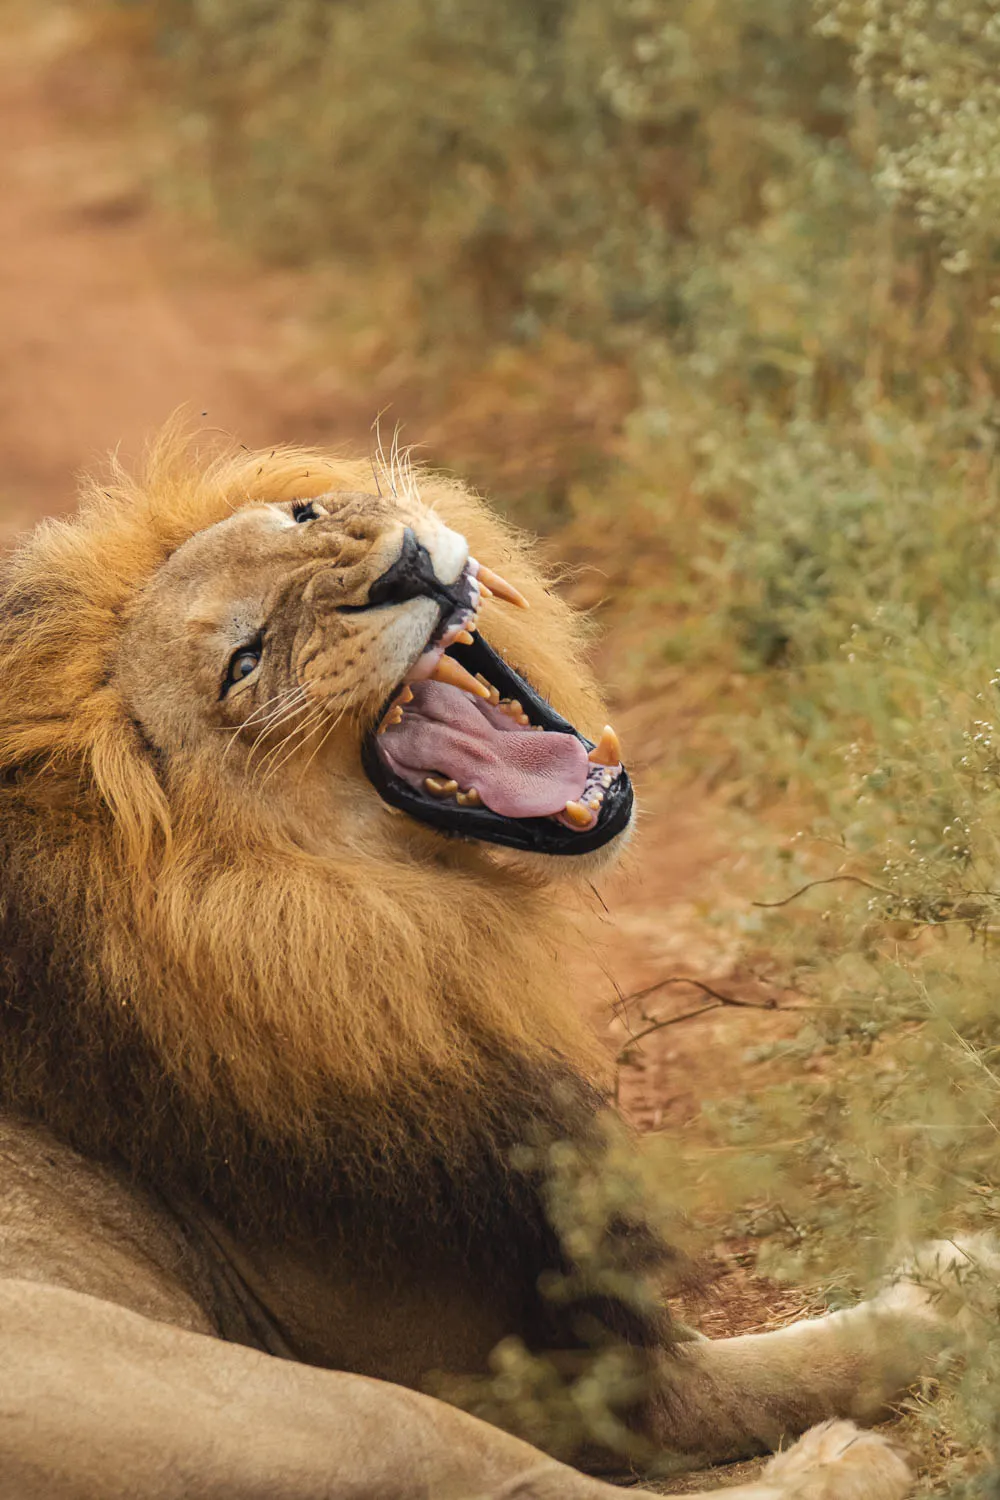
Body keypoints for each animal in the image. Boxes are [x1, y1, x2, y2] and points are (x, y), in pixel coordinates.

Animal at [0, 430, 974, 1500]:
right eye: (244, 662)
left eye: (303, 516)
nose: (402, 568)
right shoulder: (557, 1366)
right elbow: (786, 1367)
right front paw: (956, 1286)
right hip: (312, 1411)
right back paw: (845, 1460)